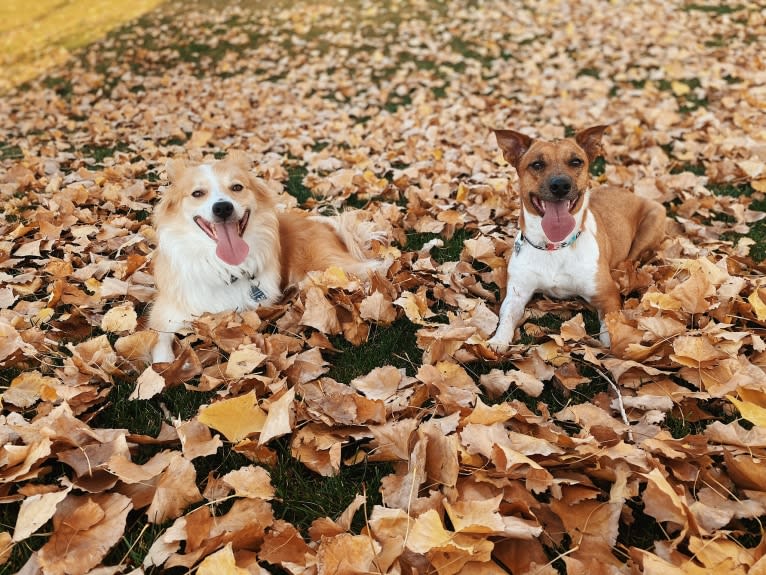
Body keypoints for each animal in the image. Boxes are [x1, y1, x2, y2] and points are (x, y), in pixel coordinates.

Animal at [150, 151, 388, 362]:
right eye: (197, 193)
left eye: (237, 187)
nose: (223, 208)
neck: (224, 267)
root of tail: (327, 226)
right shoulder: (167, 310)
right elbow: (159, 337)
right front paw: (162, 366)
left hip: (326, 267)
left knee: (374, 268)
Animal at [492, 126, 664, 354]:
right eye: (537, 164)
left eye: (576, 161)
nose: (560, 185)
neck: (555, 245)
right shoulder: (517, 293)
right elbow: (507, 316)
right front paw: (498, 339)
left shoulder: (606, 294)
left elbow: (609, 322)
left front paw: (612, 343)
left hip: (655, 216)